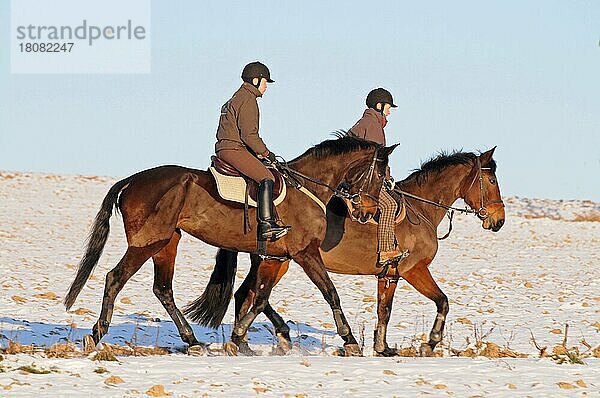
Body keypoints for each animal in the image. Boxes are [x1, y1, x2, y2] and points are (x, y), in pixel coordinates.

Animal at [64, 134, 398, 354]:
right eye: (380, 174)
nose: (368, 213)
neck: (307, 187)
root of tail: (132, 181)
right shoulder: (305, 253)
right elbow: (330, 293)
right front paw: (350, 340)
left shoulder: (275, 258)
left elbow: (259, 297)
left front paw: (239, 338)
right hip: (147, 242)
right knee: (115, 278)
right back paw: (96, 335)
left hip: (168, 242)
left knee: (163, 289)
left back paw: (192, 341)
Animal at [195, 148, 504, 356]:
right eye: (491, 181)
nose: (499, 220)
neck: (422, 209)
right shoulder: (414, 269)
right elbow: (443, 302)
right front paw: (430, 343)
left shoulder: (389, 274)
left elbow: (384, 310)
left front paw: (382, 347)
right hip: (284, 259)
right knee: (251, 295)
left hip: (277, 260)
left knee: (247, 294)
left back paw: (249, 341)